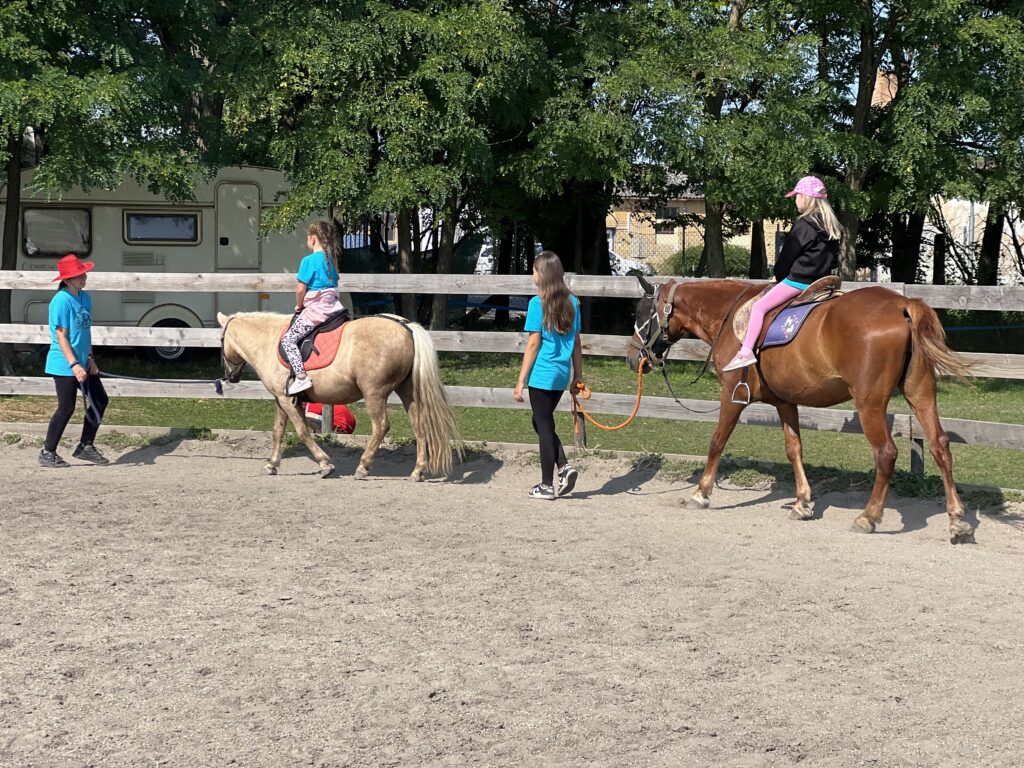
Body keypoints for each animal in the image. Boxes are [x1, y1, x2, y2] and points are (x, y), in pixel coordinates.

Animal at [217, 311, 461, 480]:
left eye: (220, 341)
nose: (231, 375)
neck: (268, 342)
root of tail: (405, 326)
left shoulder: (287, 400)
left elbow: (302, 431)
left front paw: (325, 464)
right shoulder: (281, 398)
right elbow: (278, 431)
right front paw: (272, 464)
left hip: (374, 393)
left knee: (381, 426)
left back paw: (363, 467)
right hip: (407, 391)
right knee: (419, 426)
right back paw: (417, 471)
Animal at [627, 278, 975, 544]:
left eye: (642, 315)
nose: (633, 357)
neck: (729, 315)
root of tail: (902, 304)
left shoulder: (732, 397)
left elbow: (717, 442)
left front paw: (701, 493)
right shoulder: (785, 402)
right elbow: (794, 447)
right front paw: (803, 502)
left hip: (870, 402)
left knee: (886, 454)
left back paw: (869, 516)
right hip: (921, 394)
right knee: (940, 446)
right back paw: (957, 521)